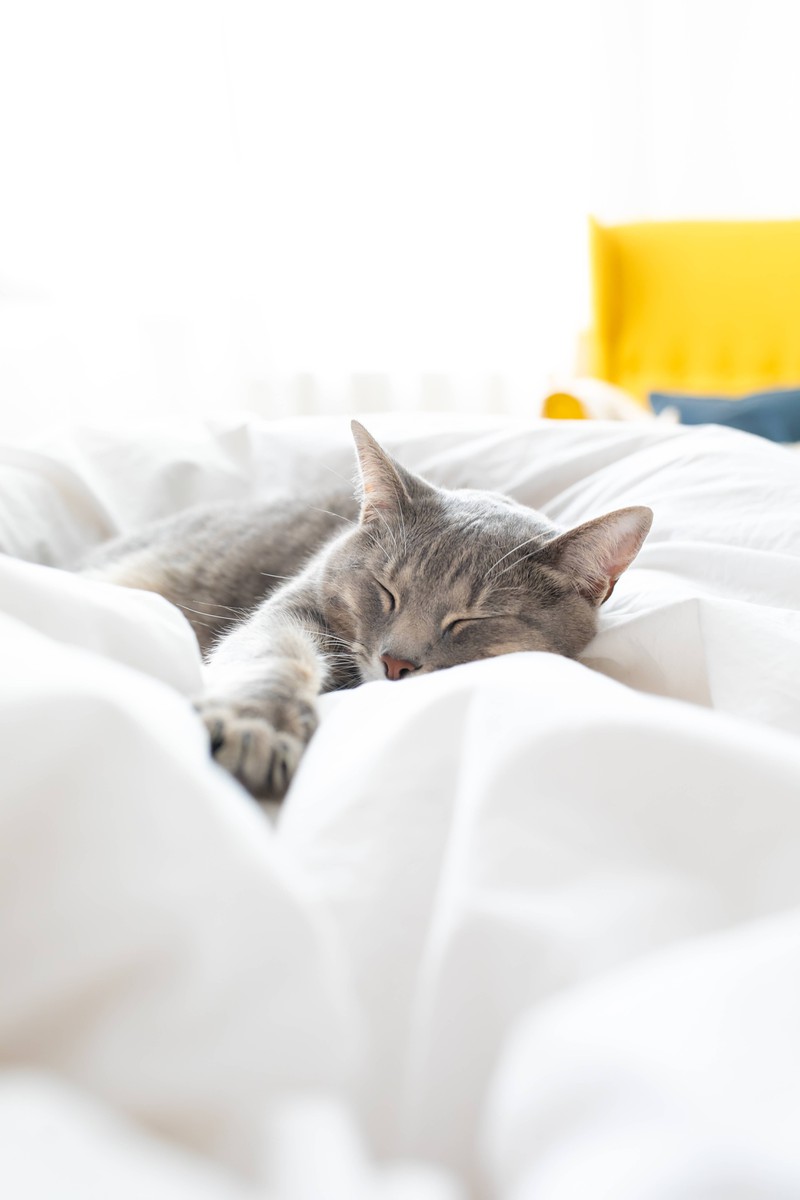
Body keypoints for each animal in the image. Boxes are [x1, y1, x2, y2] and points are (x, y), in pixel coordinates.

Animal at [84, 422, 652, 796]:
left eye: (471, 620)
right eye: (386, 589)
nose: (396, 663)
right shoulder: (291, 609)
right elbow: (277, 657)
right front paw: (258, 725)